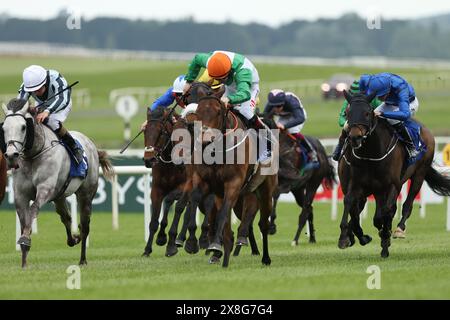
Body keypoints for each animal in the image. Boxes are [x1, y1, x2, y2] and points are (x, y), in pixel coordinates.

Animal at [1, 98, 114, 268]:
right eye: (3, 128)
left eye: (23, 127)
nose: (11, 155)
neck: (34, 154)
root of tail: (91, 144)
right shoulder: (21, 195)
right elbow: (24, 221)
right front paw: (24, 262)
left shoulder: (45, 189)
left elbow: (33, 210)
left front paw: (25, 239)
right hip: (59, 197)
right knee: (66, 218)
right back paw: (74, 238)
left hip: (86, 195)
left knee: (85, 226)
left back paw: (82, 259)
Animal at [338, 90, 450, 258]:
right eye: (347, 113)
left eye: (367, 113)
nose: (354, 137)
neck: (371, 153)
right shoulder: (357, 184)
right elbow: (350, 204)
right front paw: (348, 237)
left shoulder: (392, 184)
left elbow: (384, 213)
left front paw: (385, 239)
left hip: (418, 174)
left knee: (406, 205)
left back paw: (398, 229)